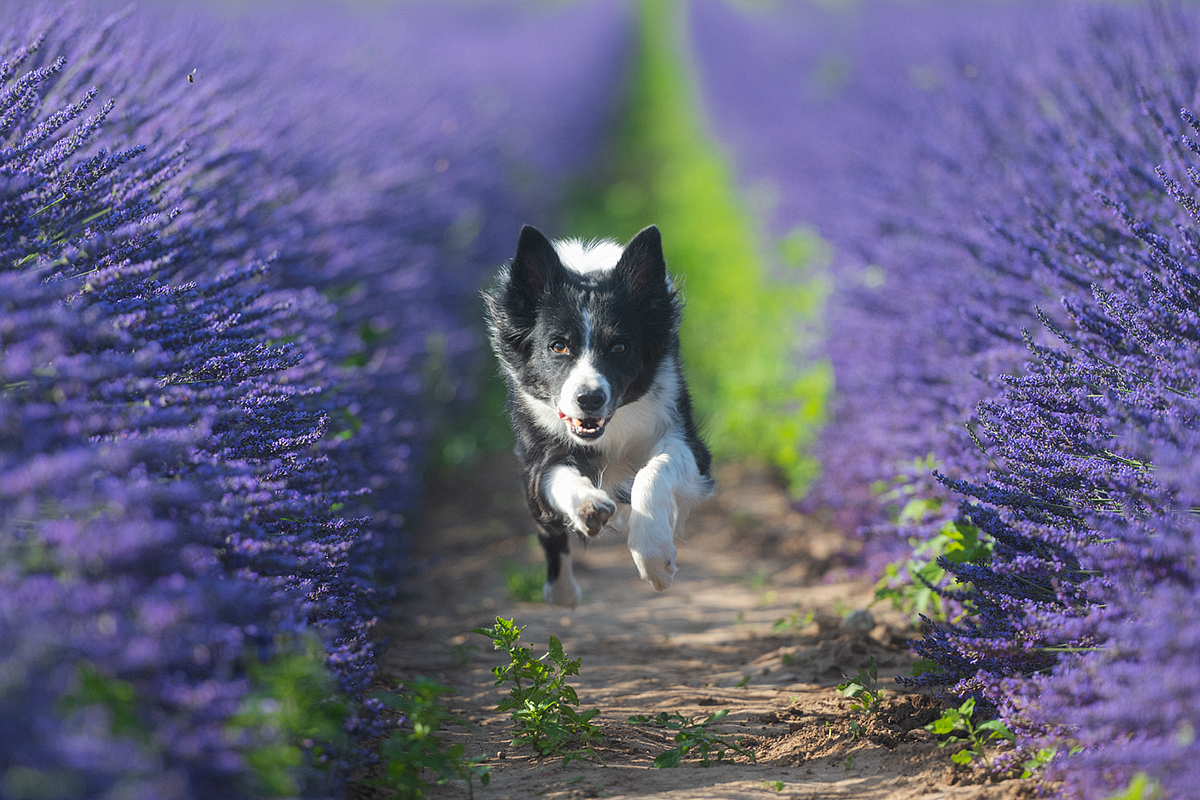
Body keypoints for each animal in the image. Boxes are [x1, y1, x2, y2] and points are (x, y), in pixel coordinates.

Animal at [482, 225, 710, 606]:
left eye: (619, 346)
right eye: (558, 345)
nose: (589, 399)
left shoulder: (685, 437)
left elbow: (653, 471)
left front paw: (654, 558)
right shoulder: (541, 450)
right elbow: (556, 479)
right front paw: (588, 504)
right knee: (548, 530)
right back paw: (562, 593)